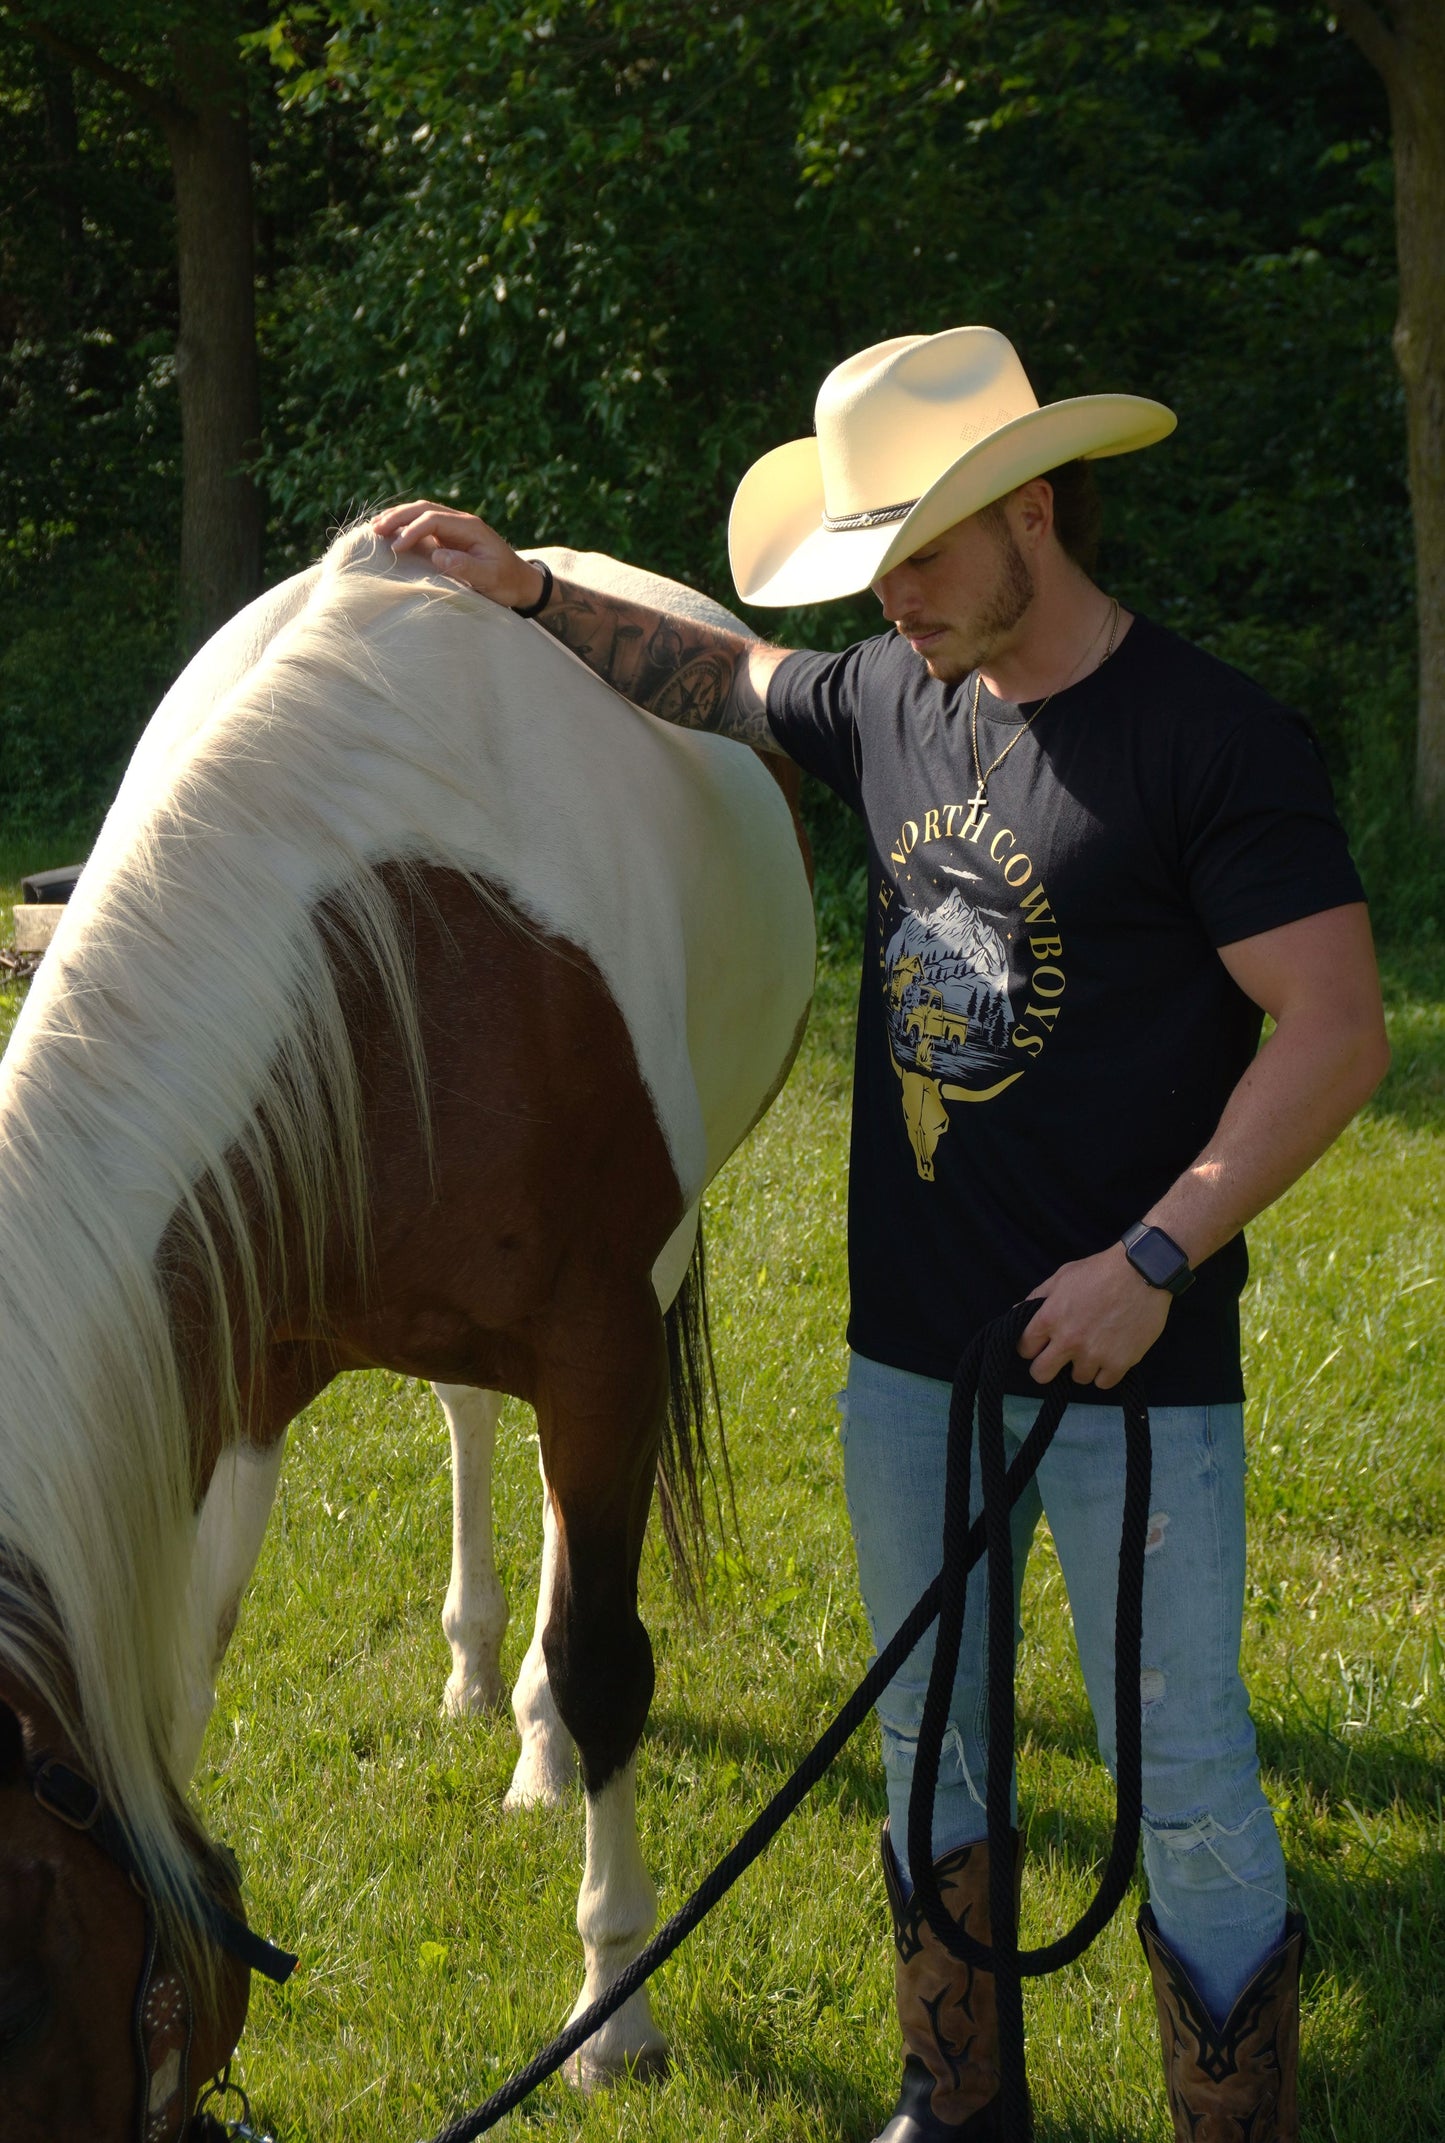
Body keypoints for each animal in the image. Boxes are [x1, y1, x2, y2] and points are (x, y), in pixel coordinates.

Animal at [0, 527, 810, 2134]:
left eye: (22, 1990)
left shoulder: (602, 1337)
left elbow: (607, 1657)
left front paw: (614, 2014)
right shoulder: (238, 1361)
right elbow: (183, 1666)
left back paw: (542, 1740)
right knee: (472, 1422)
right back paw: (478, 1672)